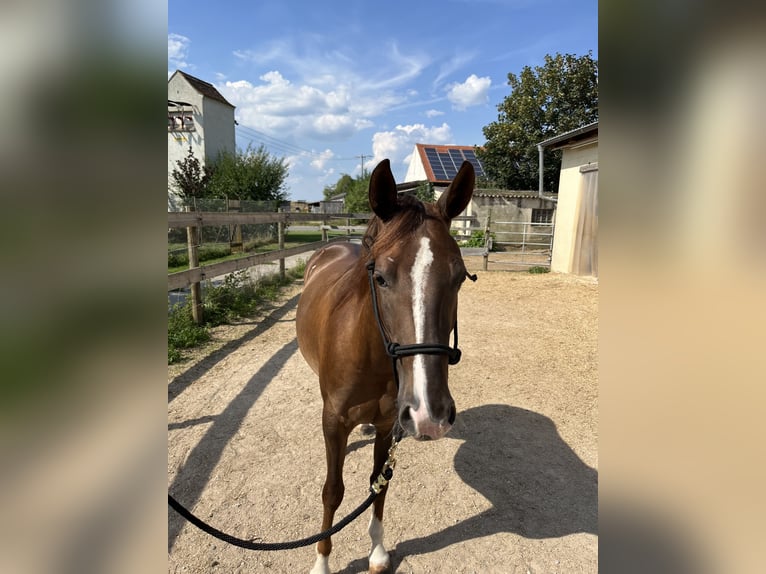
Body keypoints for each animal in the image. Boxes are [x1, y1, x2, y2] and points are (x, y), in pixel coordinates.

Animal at [296, 159, 476, 574]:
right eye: (379, 278)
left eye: (460, 277)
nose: (430, 414)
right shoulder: (334, 421)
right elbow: (332, 492)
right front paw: (322, 562)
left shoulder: (387, 424)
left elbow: (380, 484)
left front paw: (377, 551)